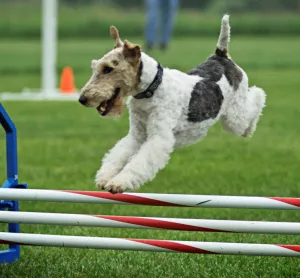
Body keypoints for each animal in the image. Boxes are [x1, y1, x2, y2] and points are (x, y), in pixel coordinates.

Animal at [78, 14, 266, 193]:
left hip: (234, 117)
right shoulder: (137, 136)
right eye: (95, 67)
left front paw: (118, 183)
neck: (152, 89)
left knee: (257, 96)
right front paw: (104, 178)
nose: (82, 99)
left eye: (108, 68)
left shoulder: (158, 138)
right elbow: (118, 155)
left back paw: (250, 128)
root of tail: (220, 56)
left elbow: (137, 164)